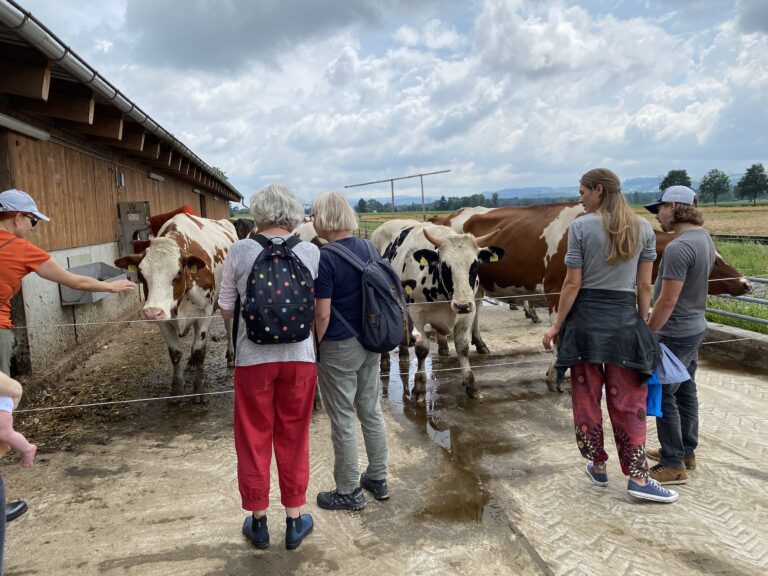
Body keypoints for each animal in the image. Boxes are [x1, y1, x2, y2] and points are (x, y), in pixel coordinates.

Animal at [115, 212, 237, 400]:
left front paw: (199, 388)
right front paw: (177, 388)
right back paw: (191, 363)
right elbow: (175, 353)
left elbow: (200, 351)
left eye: (179, 272)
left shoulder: (205, 313)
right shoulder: (164, 319)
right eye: (141, 274)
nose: (152, 313)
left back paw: (230, 357)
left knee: (229, 328)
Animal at [370, 218, 504, 402]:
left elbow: (463, 347)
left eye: (474, 265)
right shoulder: (416, 313)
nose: (462, 305)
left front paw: (471, 385)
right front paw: (419, 387)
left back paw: (403, 352)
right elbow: (422, 349)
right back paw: (385, 358)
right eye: (445, 266)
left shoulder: (468, 314)